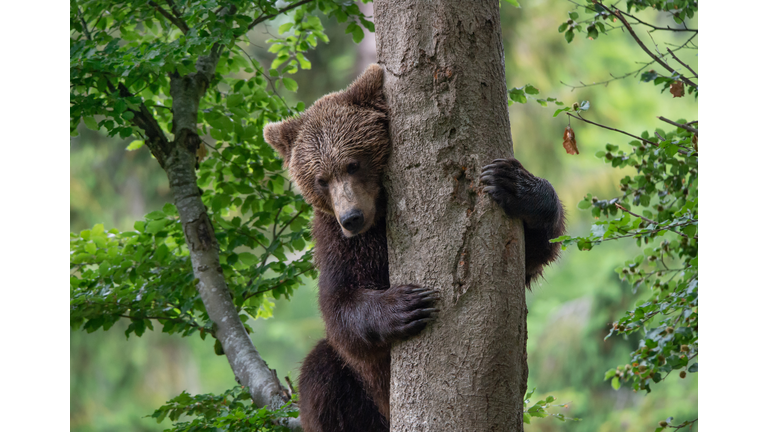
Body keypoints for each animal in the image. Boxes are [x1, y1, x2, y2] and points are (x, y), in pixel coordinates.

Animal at [264, 65, 564, 432]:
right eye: (320, 179)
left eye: (353, 164)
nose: (351, 217)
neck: (379, 216)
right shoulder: (338, 242)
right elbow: (339, 303)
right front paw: (407, 304)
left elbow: (531, 255)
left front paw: (514, 184)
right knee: (322, 374)